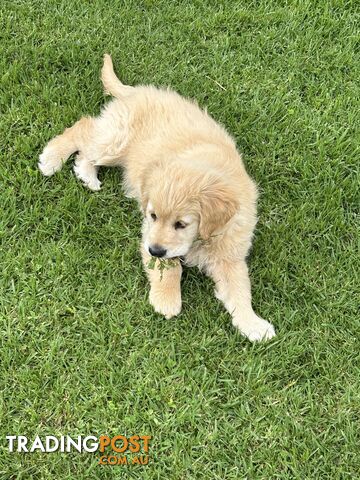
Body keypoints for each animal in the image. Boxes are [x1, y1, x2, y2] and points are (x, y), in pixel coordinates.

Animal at [39, 54, 276, 342]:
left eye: (181, 224)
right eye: (153, 215)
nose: (154, 250)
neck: (202, 238)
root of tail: (136, 91)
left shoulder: (230, 254)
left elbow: (240, 290)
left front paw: (253, 324)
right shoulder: (150, 233)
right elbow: (169, 268)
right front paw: (167, 300)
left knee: (86, 150)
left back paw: (87, 175)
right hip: (115, 142)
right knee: (83, 129)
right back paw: (51, 158)